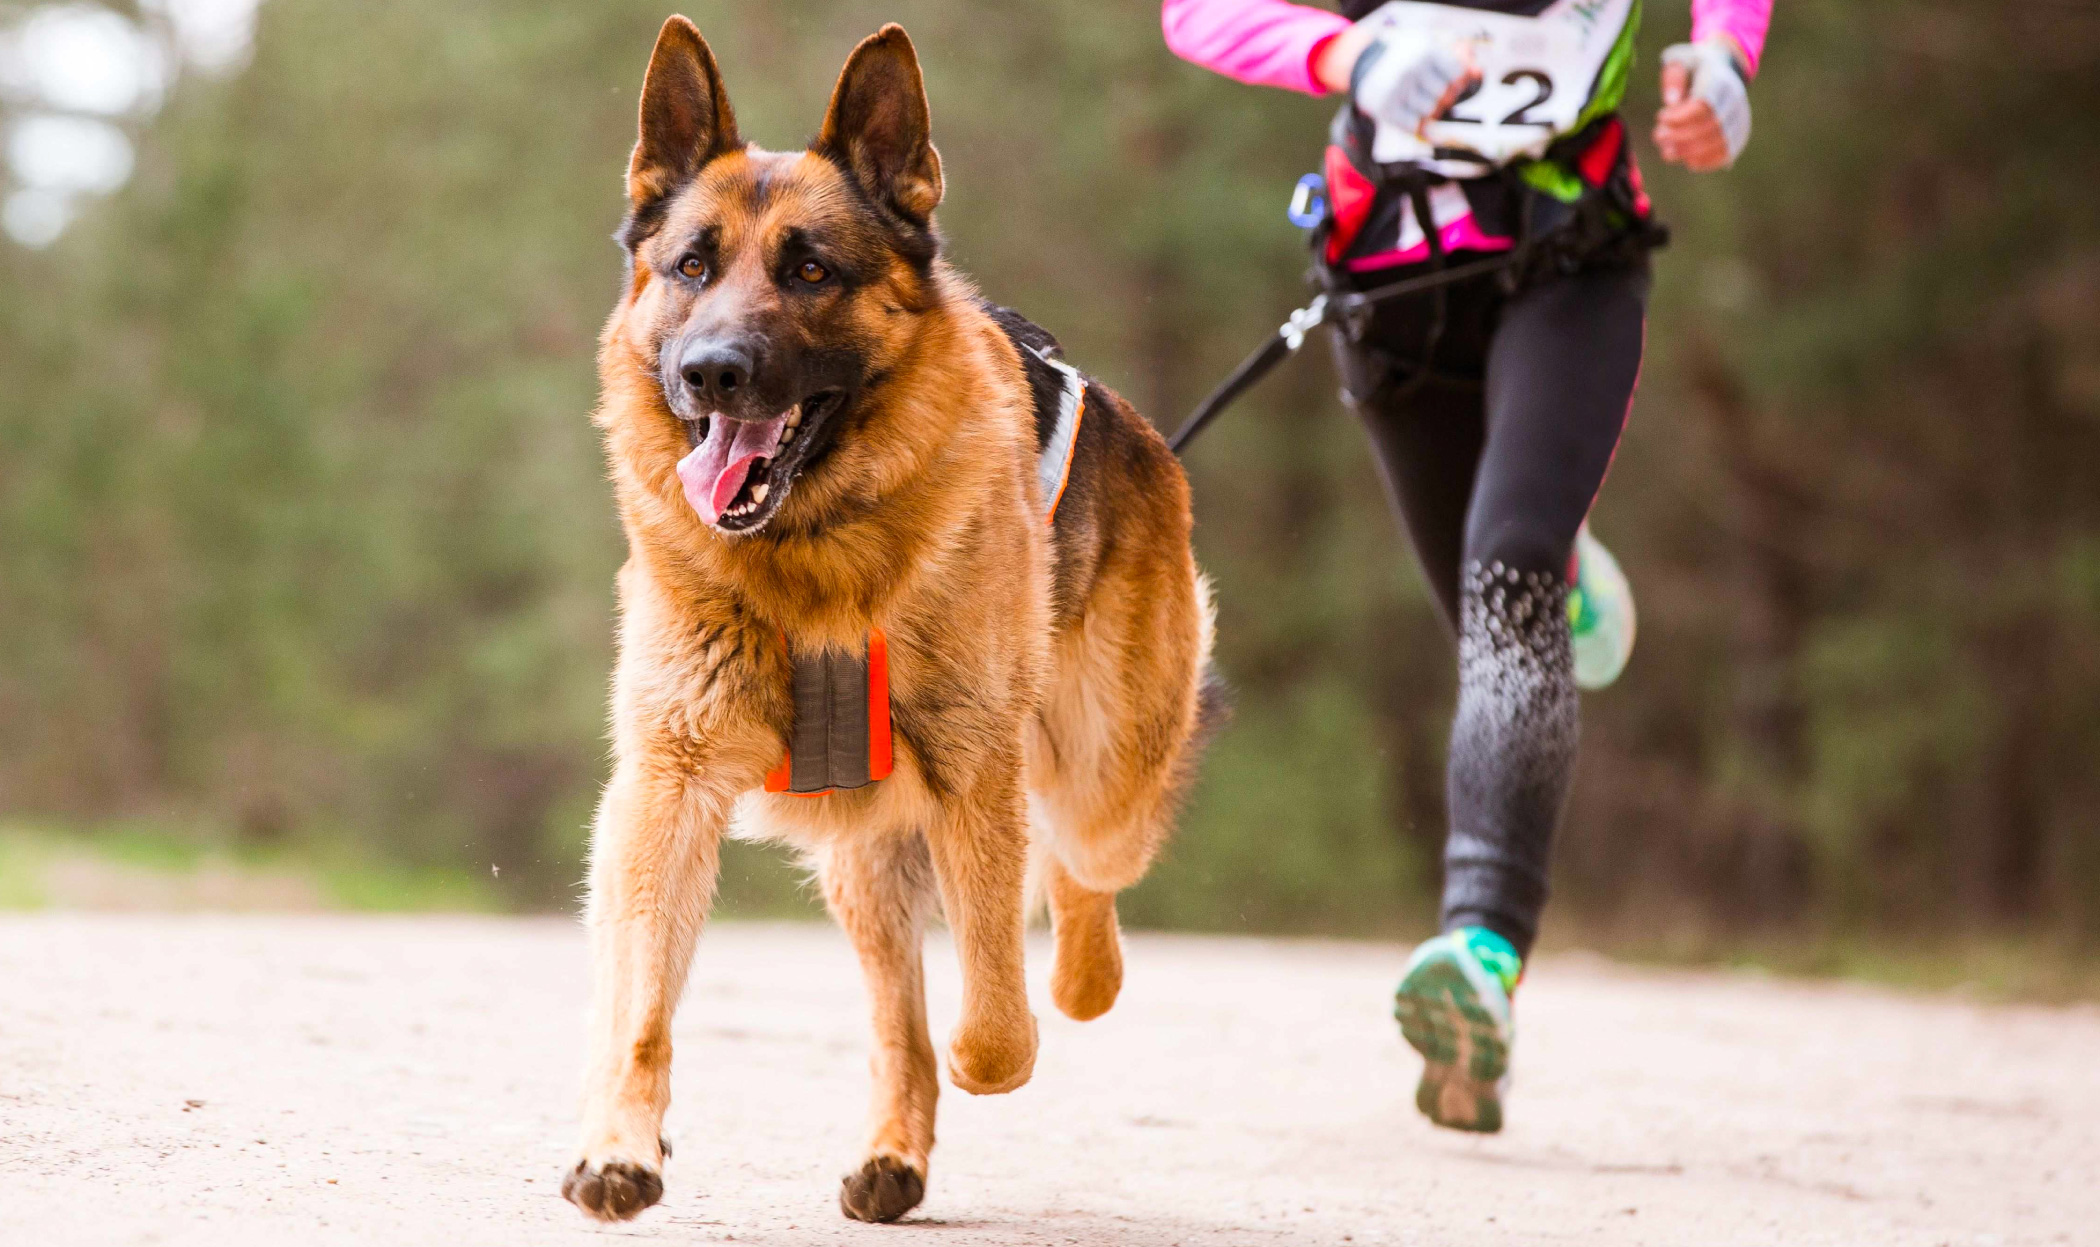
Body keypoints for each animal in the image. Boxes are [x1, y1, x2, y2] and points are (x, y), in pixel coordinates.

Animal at [562, 17, 1218, 1226]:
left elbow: (996, 1027)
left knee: (1079, 878)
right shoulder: (666, 787)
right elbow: (640, 1003)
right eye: (691, 266)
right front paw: (622, 1146)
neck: (813, 559)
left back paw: (1079, 979)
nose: (709, 372)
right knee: (895, 1016)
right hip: (865, 863)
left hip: (1099, 773)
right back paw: (893, 1153)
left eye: (811, 269)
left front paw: (998, 1037)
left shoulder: (974, 776)